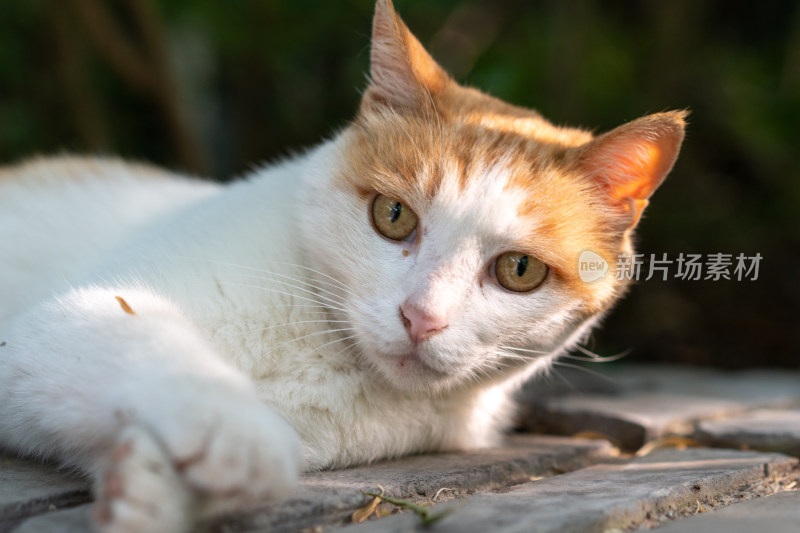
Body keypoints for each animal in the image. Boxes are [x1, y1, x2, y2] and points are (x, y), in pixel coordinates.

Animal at [0, 1, 688, 532]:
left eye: (519, 270)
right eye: (394, 215)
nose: (420, 317)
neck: (331, 355)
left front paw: (144, 489)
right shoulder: (50, 327)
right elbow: (152, 349)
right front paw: (235, 439)